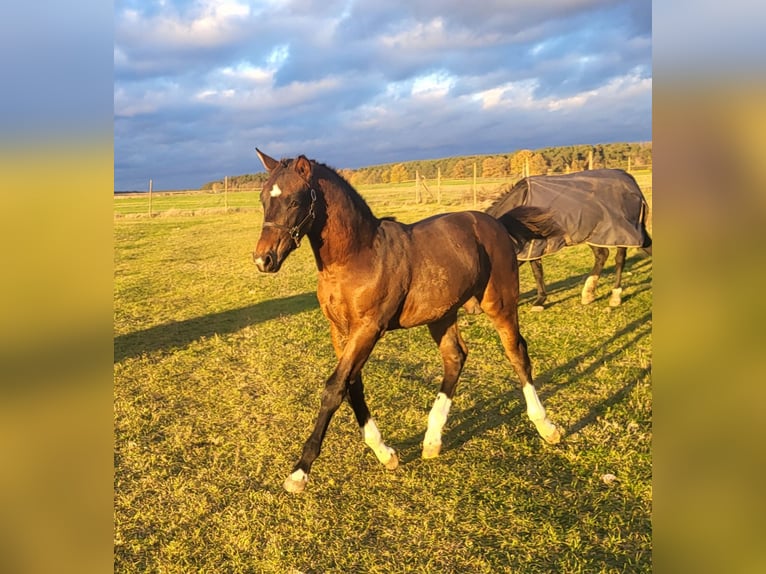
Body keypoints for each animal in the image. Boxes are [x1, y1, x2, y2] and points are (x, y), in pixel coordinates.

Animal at [252, 152, 564, 496]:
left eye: (294, 200)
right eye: (263, 198)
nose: (263, 260)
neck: (356, 256)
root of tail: (494, 222)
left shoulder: (369, 328)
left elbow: (335, 388)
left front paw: (300, 471)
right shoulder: (341, 330)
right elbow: (352, 385)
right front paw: (384, 453)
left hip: (500, 304)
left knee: (516, 352)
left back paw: (546, 426)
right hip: (441, 315)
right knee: (455, 357)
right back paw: (432, 440)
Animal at [488, 171, 652, 310]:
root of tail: (631, 182)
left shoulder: (533, 246)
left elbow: (537, 272)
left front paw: (539, 301)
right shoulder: (529, 249)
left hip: (621, 233)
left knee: (619, 259)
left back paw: (615, 296)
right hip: (593, 234)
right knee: (602, 255)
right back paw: (588, 294)